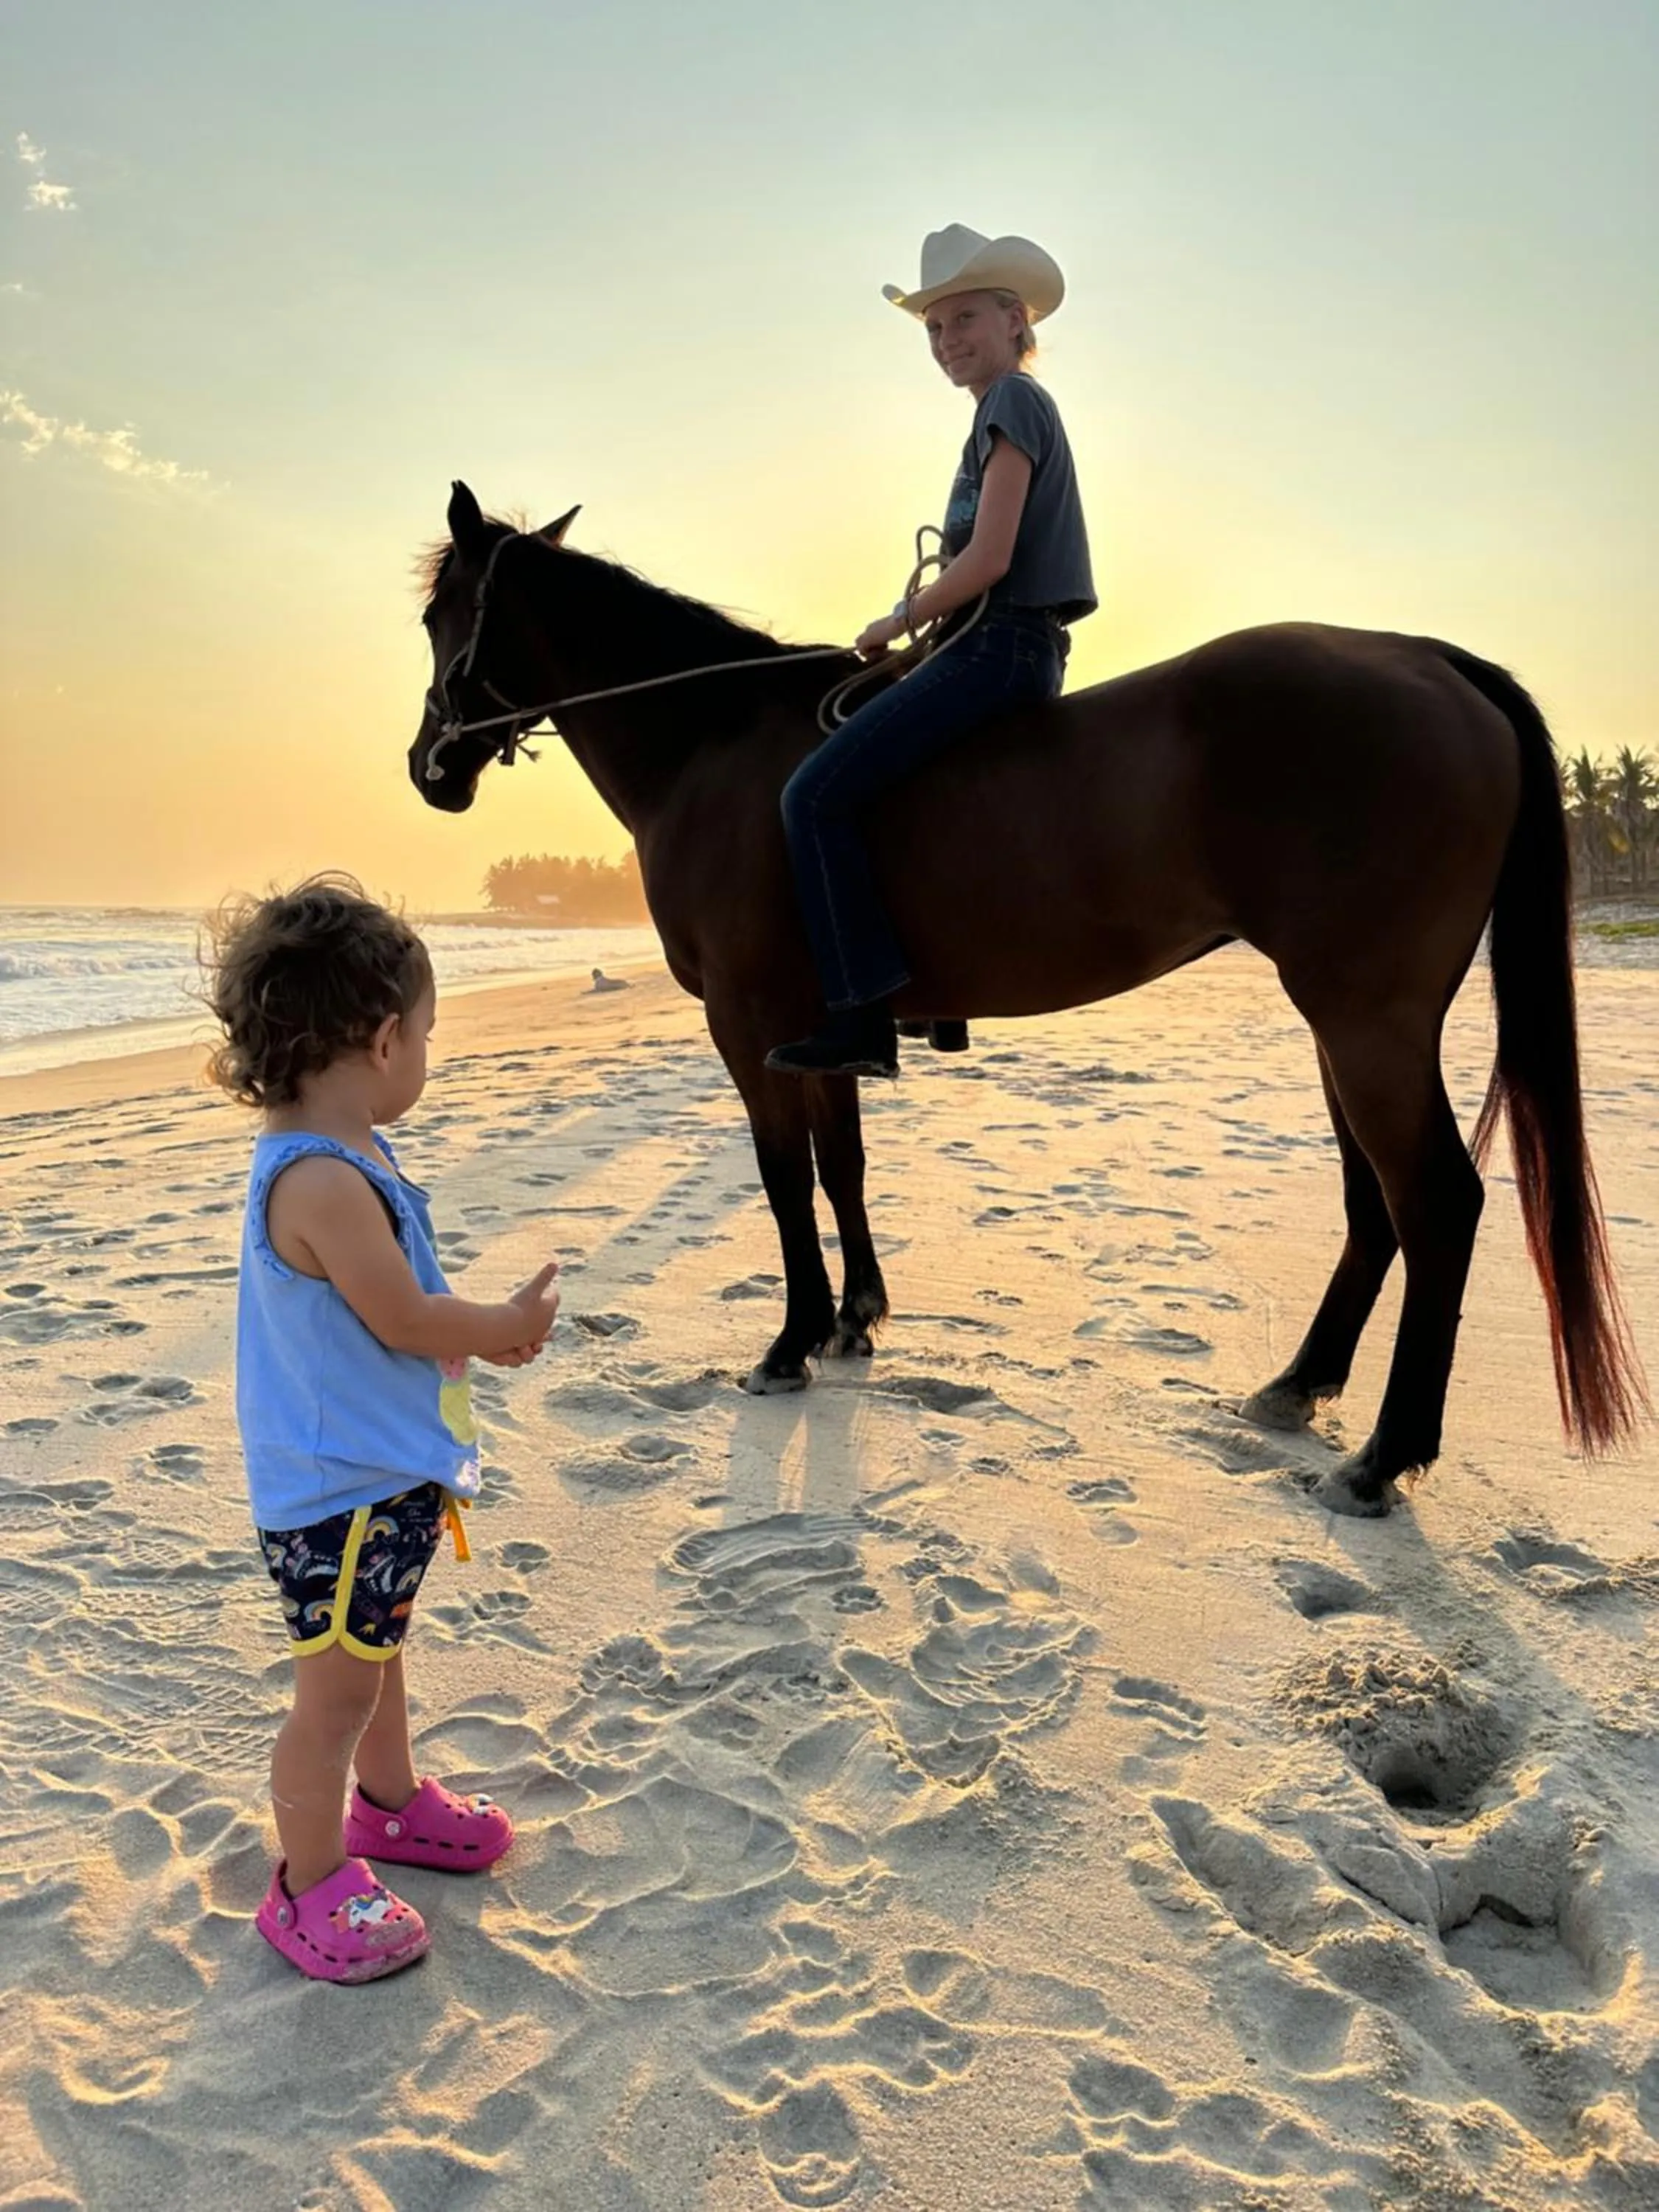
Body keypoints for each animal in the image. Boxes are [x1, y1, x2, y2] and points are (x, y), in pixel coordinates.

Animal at [408, 482, 1645, 1517]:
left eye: (439, 616)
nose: (429, 769)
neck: (713, 748)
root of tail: (1429, 660)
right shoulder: (820, 1034)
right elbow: (841, 1166)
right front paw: (855, 1319)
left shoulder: (749, 1028)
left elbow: (783, 1181)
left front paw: (792, 1340)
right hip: (1352, 1025)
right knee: (1372, 1205)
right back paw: (1300, 1386)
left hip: (1365, 1020)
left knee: (1433, 1202)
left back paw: (1385, 1457)